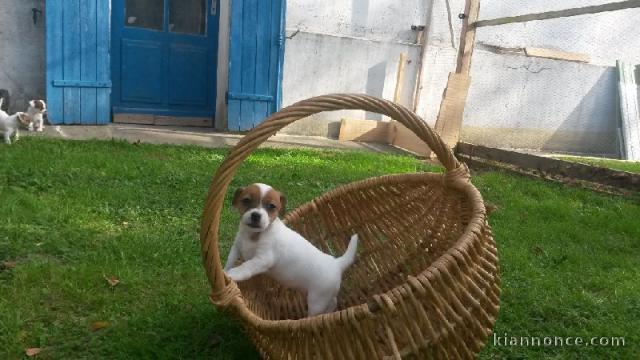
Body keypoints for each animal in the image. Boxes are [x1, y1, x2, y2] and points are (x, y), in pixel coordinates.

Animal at [225, 184, 358, 316]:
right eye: (246, 200)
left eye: (271, 206)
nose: (256, 215)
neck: (255, 235)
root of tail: (337, 263)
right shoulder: (236, 247)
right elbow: (230, 260)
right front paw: (224, 272)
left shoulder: (263, 259)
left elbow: (247, 266)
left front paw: (233, 273)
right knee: (333, 301)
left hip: (317, 300)